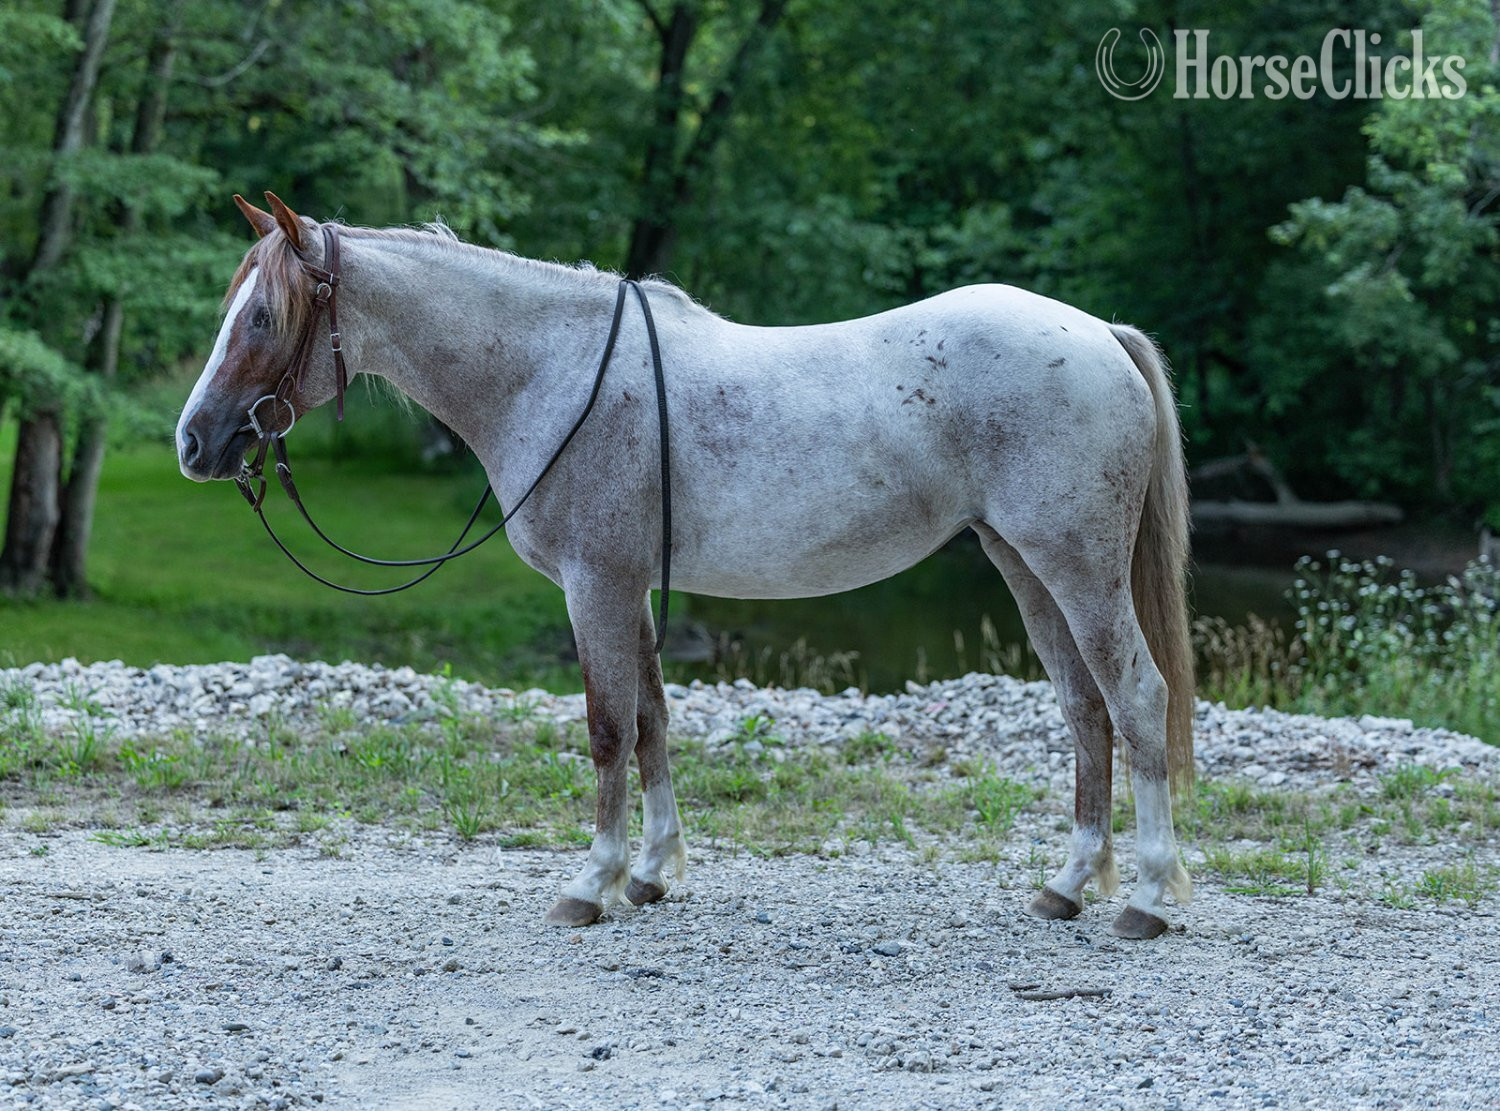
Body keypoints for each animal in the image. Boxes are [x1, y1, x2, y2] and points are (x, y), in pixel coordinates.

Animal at [177, 193, 1195, 940]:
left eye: (262, 314)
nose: (193, 443)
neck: (551, 375)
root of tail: (1099, 333)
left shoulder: (594, 586)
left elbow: (607, 730)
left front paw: (590, 881)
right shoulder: (625, 589)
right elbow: (654, 723)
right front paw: (652, 871)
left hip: (1078, 568)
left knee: (1136, 696)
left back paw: (1146, 897)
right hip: (1026, 566)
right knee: (1086, 708)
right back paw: (1069, 883)